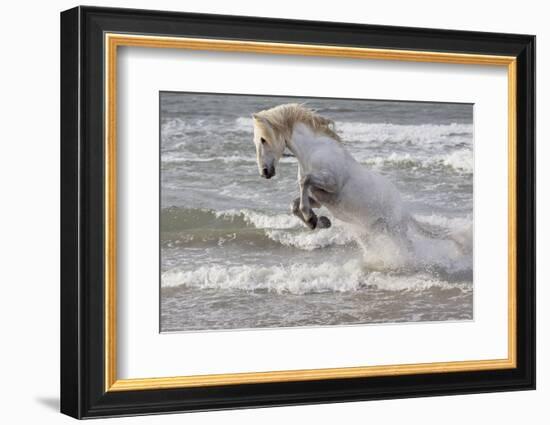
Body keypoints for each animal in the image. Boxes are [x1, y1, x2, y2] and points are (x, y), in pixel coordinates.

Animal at [251, 103, 436, 248]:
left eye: (263, 140)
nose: (264, 172)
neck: (314, 152)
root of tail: (404, 209)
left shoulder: (332, 184)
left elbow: (305, 181)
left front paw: (311, 218)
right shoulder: (319, 197)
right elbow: (294, 204)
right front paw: (319, 222)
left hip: (395, 230)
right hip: (377, 230)